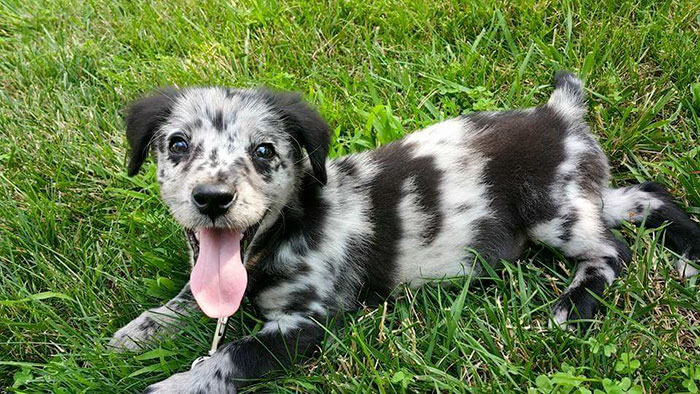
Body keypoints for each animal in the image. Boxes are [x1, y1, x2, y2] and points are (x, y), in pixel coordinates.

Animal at [110, 72, 700, 392]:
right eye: (178, 145)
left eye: (263, 152)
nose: (212, 199)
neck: (289, 228)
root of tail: (561, 115)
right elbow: (190, 298)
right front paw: (140, 331)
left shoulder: (307, 323)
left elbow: (228, 357)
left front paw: (169, 385)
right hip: (583, 195)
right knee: (646, 195)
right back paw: (689, 248)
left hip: (553, 210)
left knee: (613, 250)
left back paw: (572, 306)